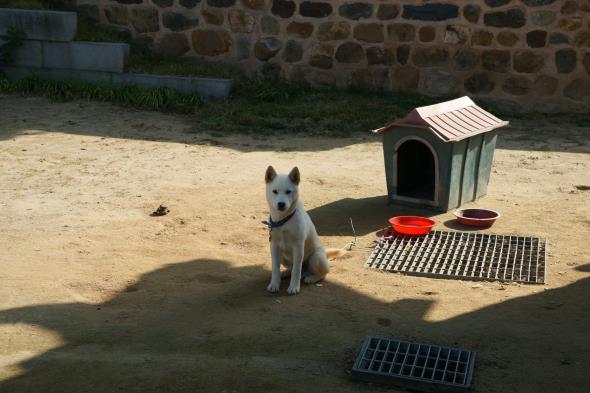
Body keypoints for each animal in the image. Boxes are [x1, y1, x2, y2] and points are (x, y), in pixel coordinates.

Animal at [266, 165, 344, 294]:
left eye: (288, 191)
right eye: (275, 191)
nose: (281, 204)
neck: (284, 220)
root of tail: (324, 253)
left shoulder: (298, 246)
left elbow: (296, 270)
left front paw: (294, 287)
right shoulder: (274, 246)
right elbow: (275, 269)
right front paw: (274, 284)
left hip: (316, 257)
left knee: (322, 273)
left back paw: (311, 278)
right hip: (283, 257)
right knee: (292, 268)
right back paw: (286, 272)